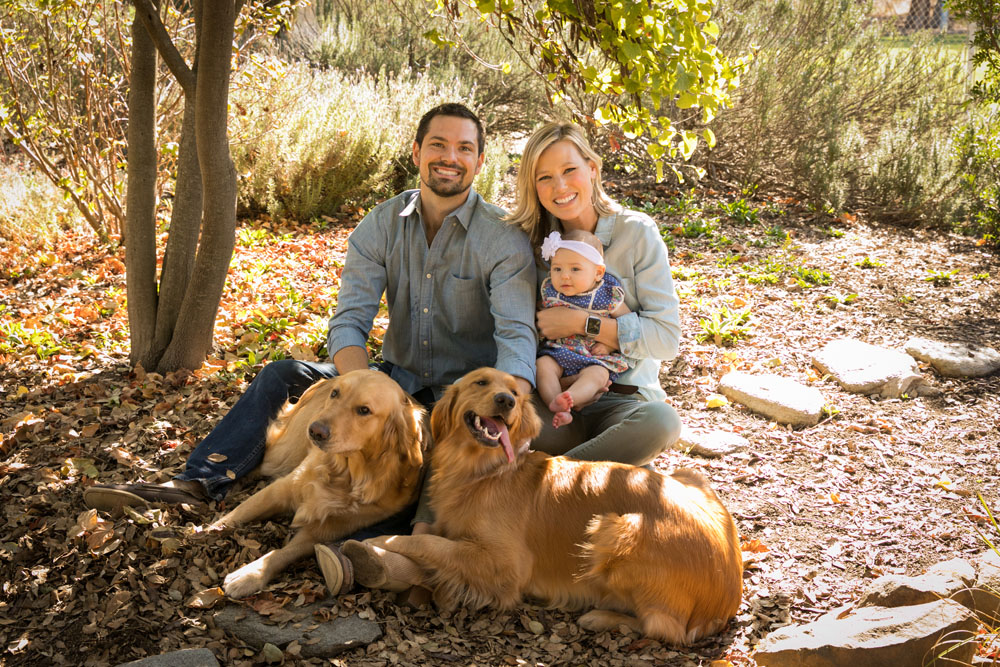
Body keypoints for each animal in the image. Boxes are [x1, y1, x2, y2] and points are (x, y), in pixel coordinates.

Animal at [346, 368, 744, 644]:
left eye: (516, 392)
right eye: (480, 382)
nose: (506, 400)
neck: (482, 470)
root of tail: (728, 596)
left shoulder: (508, 565)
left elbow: (428, 542)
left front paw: (381, 543)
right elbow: (435, 539)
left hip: (616, 530)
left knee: (665, 628)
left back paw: (601, 617)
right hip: (689, 476)